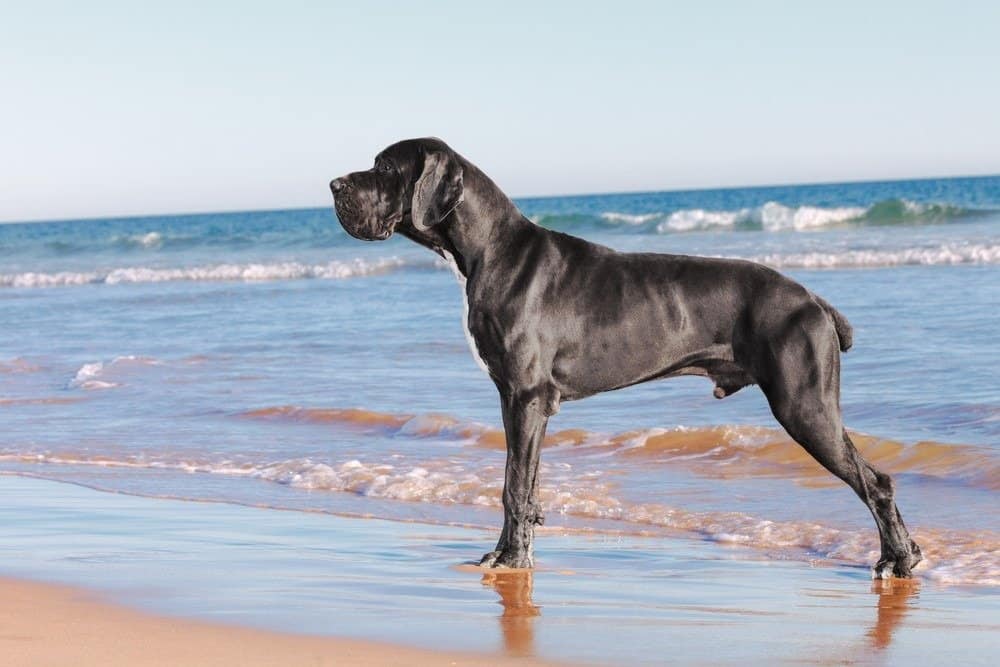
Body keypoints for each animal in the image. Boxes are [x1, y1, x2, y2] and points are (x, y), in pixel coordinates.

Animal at [330, 137, 920, 580]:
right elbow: (524, 482)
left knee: (876, 482)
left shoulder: (525, 397)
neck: (487, 248)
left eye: (385, 168)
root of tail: (814, 300)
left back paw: (897, 559)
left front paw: (512, 558)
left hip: (805, 406)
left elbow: (513, 485)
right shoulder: (521, 401)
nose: (335, 184)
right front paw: (511, 553)